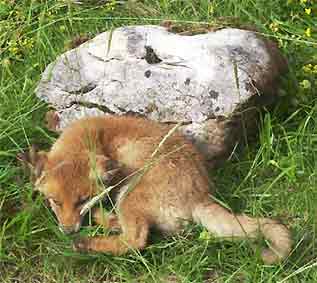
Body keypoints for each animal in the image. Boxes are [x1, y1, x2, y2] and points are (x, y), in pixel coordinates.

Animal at [22, 115, 292, 264]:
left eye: (81, 200)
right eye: (55, 201)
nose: (68, 231)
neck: (92, 137)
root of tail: (201, 197)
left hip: (128, 196)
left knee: (136, 240)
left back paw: (87, 243)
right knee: (123, 227)